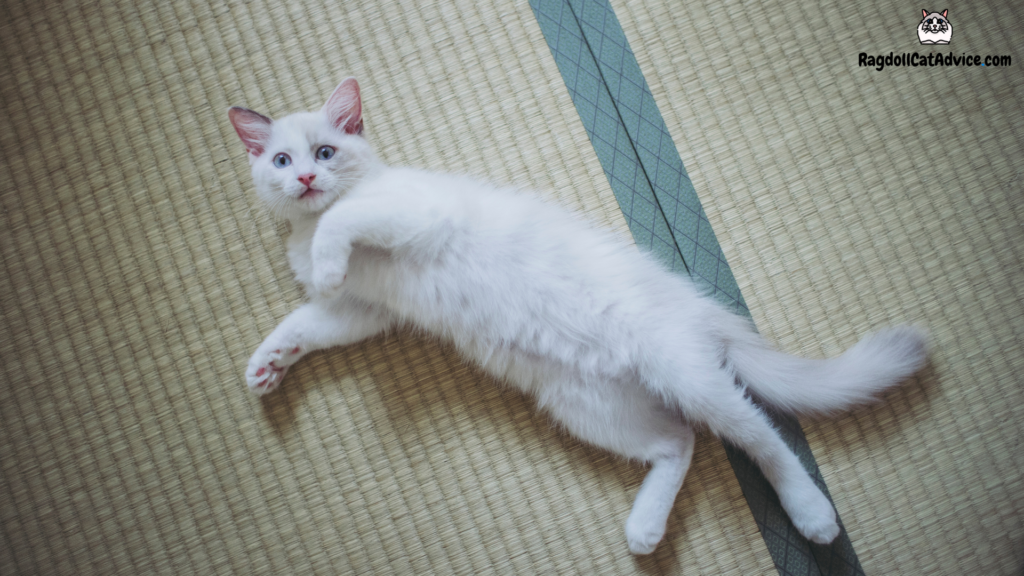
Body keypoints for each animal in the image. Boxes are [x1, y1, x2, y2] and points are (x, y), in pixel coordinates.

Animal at [230, 77, 929, 553]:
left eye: (325, 151)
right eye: (282, 161)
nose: (306, 182)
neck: (309, 226)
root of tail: (704, 312)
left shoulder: (411, 214)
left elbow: (347, 221)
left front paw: (327, 258)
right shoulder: (364, 311)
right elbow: (306, 325)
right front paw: (267, 364)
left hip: (682, 375)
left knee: (761, 435)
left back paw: (812, 514)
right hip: (586, 406)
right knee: (679, 442)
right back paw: (645, 529)